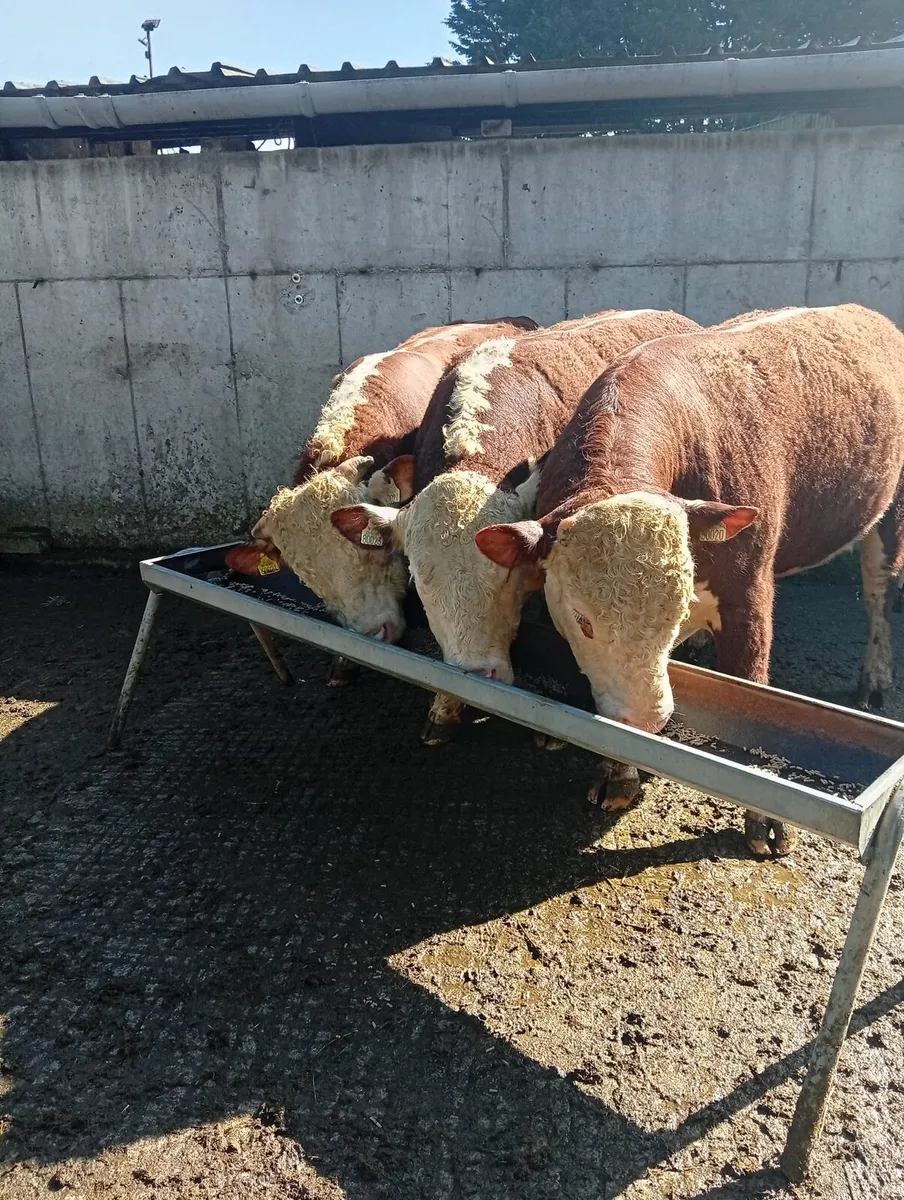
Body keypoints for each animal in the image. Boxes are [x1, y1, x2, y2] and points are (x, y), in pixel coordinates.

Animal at [474, 304, 904, 858]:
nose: (650, 721)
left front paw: (767, 819)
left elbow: (753, 701)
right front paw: (619, 774)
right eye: (582, 620)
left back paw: (874, 680)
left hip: (891, 511)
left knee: (879, 593)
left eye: (676, 611)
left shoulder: (748, 597)